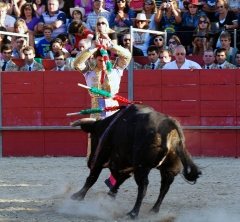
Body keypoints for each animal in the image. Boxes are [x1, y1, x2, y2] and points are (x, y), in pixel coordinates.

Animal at [70, 103, 202, 219]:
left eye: (91, 136)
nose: (89, 161)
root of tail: (169, 124)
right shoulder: (128, 166)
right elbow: (119, 180)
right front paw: (109, 197)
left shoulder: (101, 157)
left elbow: (93, 177)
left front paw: (78, 196)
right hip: (169, 168)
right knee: (165, 187)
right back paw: (154, 210)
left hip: (142, 167)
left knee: (143, 186)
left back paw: (132, 213)